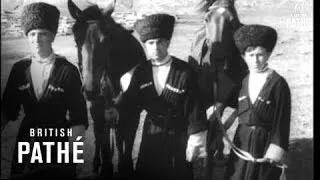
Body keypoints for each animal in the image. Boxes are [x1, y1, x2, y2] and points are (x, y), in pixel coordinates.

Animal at [68, 0, 148, 177]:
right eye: (76, 39)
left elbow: (126, 143)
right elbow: (104, 144)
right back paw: (96, 162)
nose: (90, 90)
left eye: (106, 40)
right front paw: (105, 167)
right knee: (99, 135)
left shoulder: (132, 115)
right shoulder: (100, 113)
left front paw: (125, 167)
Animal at [189, 0, 249, 179]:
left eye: (233, 20)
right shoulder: (204, 101)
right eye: (207, 18)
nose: (216, 59)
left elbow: (218, 126)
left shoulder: (226, 99)